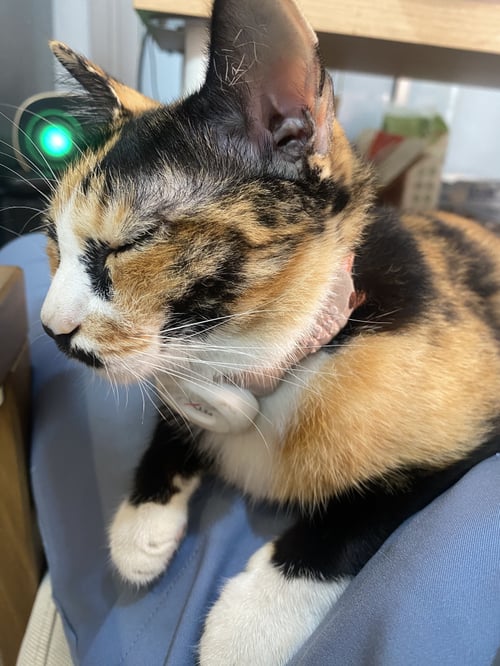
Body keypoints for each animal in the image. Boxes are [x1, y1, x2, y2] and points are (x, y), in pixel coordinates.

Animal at [40, 0, 500, 663]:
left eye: (132, 242)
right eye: (53, 239)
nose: (51, 327)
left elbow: (360, 513)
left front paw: (252, 621)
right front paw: (141, 527)